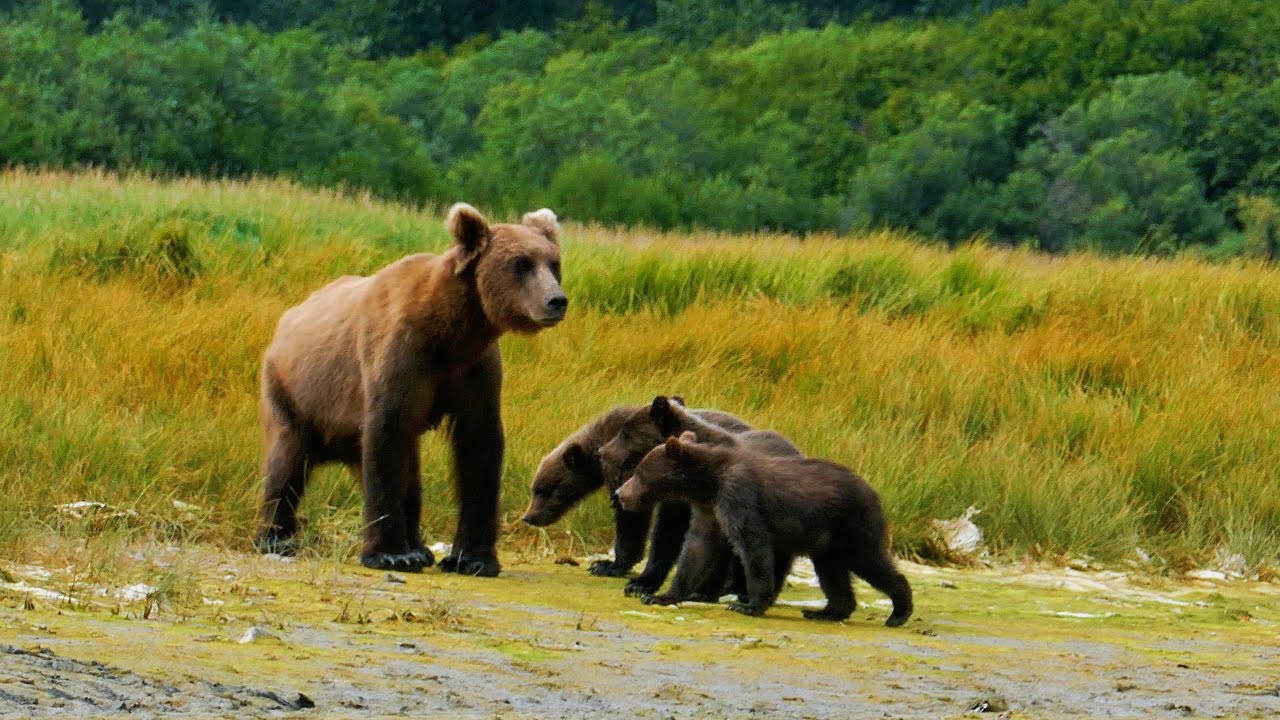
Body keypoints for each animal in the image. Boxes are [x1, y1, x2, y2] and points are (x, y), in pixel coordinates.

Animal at [254, 203, 566, 576]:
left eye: (554, 263)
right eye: (521, 263)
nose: (556, 300)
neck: (454, 333)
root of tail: (284, 323)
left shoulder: (474, 371)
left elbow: (478, 447)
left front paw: (472, 559)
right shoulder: (401, 357)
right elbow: (388, 435)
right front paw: (388, 554)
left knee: (406, 471)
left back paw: (419, 548)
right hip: (294, 391)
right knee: (287, 459)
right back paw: (276, 538)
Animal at [521, 401, 752, 597]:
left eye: (544, 490)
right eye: (534, 489)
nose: (529, 517)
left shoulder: (628, 473)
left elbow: (631, 521)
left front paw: (610, 566)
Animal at [597, 396, 804, 598]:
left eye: (626, 433)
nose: (602, 451)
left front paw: (703, 590)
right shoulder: (678, 504)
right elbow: (667, 535)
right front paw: (639, 583)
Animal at [616, 432, 913, 627]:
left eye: (639, 471)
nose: (620, 494)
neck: (709, 483)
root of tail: (874, 492)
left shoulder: (739, 498)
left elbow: (753, 547)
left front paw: (748, 604)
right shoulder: (709, 510)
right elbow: (698, 547)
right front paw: (660, 595)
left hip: (853, 525)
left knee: (870, 562)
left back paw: (899, 611)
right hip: (825, 541)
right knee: (831, 572)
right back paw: (825, 611)